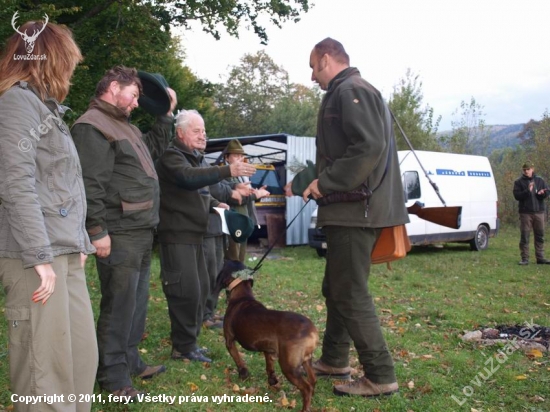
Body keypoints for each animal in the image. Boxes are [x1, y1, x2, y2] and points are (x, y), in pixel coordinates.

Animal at [217, 260, 320, 412]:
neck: (242, 296)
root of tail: (312, 331)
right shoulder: (268, 350)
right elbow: (269, 367)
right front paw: (272, 381)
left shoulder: (229, 341)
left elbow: (239, 360)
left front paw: (243, 375)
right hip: (306, 361)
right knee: (313, 381)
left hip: (289, 366)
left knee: (306, 388)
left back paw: (304, 408)